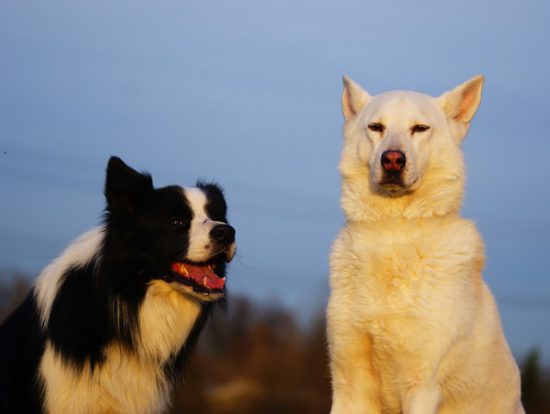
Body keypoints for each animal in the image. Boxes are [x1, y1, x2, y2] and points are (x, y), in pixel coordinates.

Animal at [328, 75, 528, 414]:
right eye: (376, 127)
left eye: (420, 128)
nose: (393, 159)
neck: (392, 233)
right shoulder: (348, 385)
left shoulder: (421, 387)